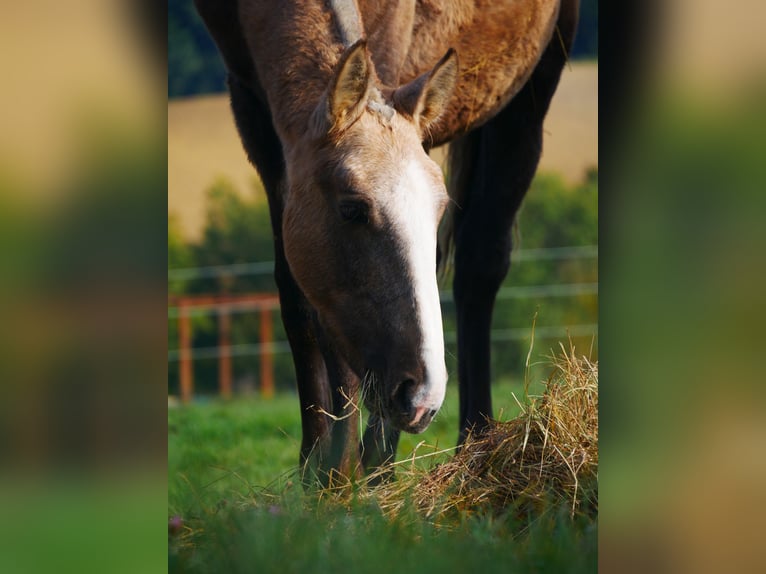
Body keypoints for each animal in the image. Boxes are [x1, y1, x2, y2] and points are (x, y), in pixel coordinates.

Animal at [196, 0, 584, 486]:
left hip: (529, 95)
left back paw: (458, 447)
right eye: (352, 209)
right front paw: (316, 466)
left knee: (479, 269)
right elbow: (300, 302)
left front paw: (338, 474)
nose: (422, 396)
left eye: (438, 209)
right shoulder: (255, 112)